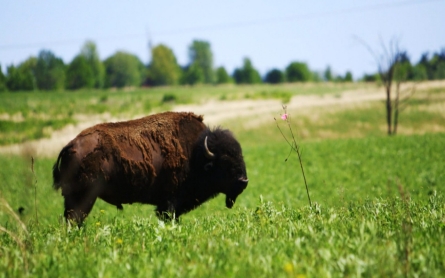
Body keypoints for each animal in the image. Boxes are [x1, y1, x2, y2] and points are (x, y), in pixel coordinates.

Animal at [52, 111, 248, 224]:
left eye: (240, 156)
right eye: (225, 162)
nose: (243, 181)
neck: (196, 152)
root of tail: (71, 145)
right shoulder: (169, 203)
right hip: (84, 197)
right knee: (75, 219)